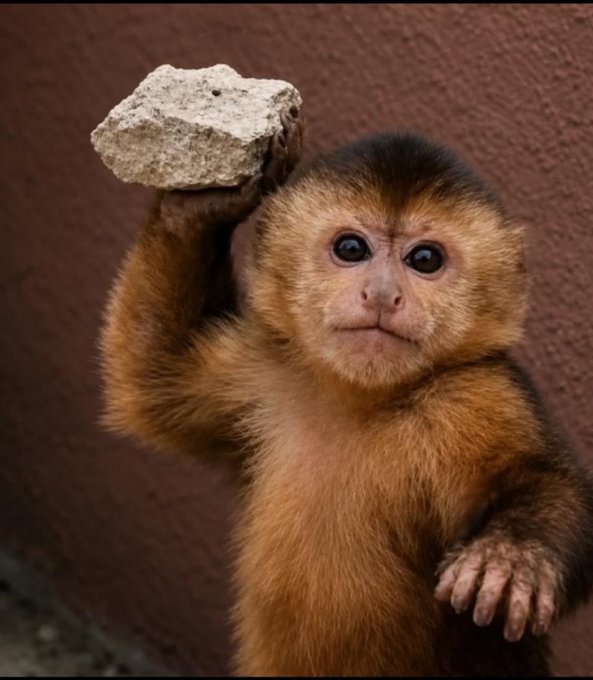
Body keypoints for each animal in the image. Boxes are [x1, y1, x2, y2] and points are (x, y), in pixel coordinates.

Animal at [100, 109, 593, 676]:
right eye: (351, 249)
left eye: (425, 259)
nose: (381, 294)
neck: (365, 402)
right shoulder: (265, 372)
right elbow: (156, 381)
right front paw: (204, 202)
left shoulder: (479, 395)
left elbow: (540, 477)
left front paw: (514, 555)